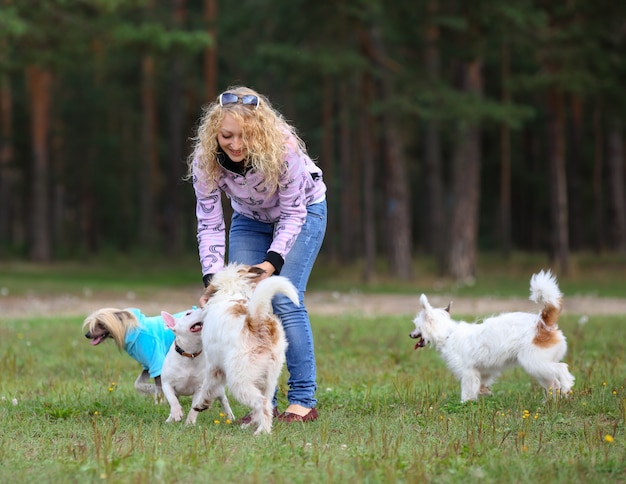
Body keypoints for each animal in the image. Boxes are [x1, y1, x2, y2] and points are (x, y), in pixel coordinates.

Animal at [190, 262, 298, 436]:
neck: (232, 293)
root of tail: (255, 320)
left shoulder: (214, 366)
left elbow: (207, 386)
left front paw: (201, 404)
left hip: (239, 379)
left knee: (262, 403)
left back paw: (262, 431)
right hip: (269, 378)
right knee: (266, 403)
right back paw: (252, 425)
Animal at [408, 270, 572, 402]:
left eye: (417, 325)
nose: (410, 334)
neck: (449, 334)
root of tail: (542, 322)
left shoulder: (468, 372)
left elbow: (467, 389)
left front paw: (465, 403)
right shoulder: (483, 372)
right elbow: (480, 384)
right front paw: (483, 392)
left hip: (535, 362)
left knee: (561, 368)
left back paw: (566, 385)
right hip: (540, 366)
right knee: (553, 383)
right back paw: (550, 402)